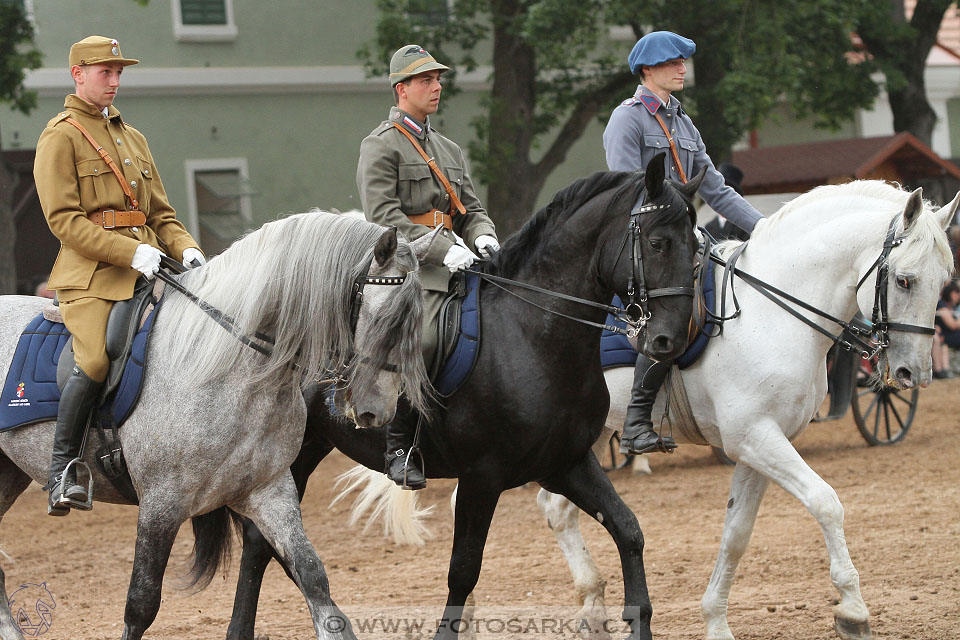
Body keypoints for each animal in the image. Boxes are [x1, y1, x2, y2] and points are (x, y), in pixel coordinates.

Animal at [0, 211, 432, 640]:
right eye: (390, 320)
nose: (378, 411)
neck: (227, 367)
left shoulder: (269, 490)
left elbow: (313, 577)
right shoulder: (161, 503)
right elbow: (141, 603)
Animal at [212, 155, 704, 640]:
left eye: (697, 247)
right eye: (658, 243)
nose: (669, 340)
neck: (533, 334)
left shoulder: (566, 463)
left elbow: (629, 530)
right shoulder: (481, 477)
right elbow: (463, 570)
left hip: (310, 446)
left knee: (263, 545)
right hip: (292, 453)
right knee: (263, 544)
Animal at [536, 181, 956, 640]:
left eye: (944, 281)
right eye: (904, 280)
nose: (914, 372)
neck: (771, 314)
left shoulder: (762, 443)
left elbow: (737, 533)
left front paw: (716, 622)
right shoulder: (754, 436)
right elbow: (825, 502)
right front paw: (853, 611)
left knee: (556, 507)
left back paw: (593, 608)